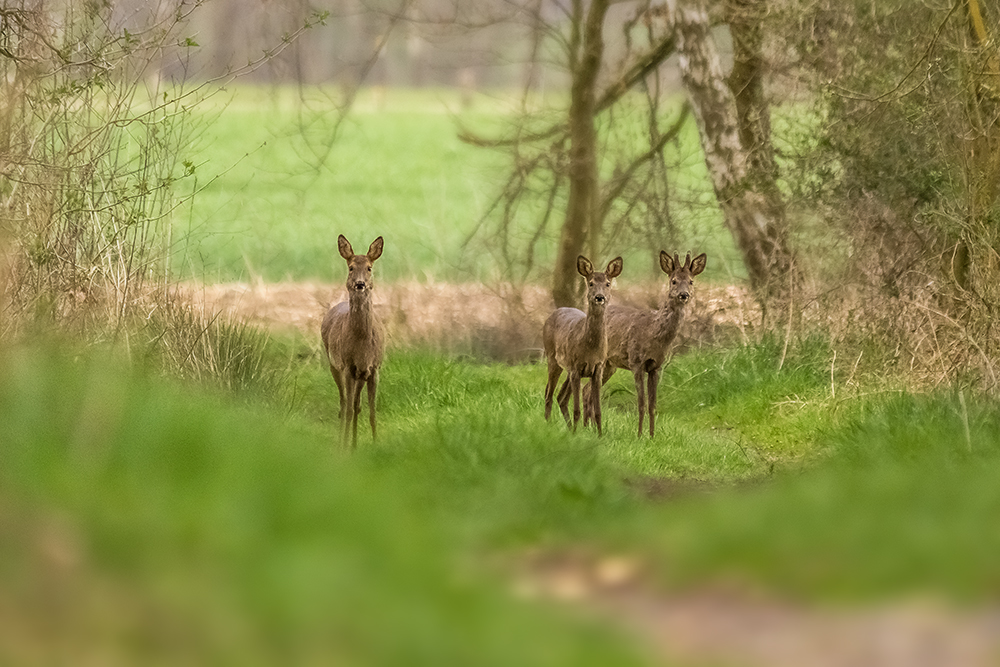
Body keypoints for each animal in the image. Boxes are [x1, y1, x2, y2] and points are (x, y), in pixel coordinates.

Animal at [320, 235, 386, 448]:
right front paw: (343, 448)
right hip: (334, 364)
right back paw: (344, 441)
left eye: (369, 268)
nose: (359, 284)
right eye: (350, 267)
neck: (362, 343)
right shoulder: (348, 366)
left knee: (356, 404)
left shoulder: (374, 368)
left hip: (360, 375)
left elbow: (371, 411)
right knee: (344, 404)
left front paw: (376, 444)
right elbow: (348, 409)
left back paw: (355, 444)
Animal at [544, 254, 620, 434]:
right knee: (549, 394)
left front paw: (598, 434)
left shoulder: (598, 368)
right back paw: (548, 425)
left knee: (561, 397)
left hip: (566, 368)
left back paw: (568, 427)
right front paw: (575, 435)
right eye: (591, 283)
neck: (590, 348)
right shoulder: (576, 367)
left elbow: (598, 410)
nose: (599, 297)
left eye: (607, 283)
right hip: (552, 358)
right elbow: (577, 409)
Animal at [588, 250, 708, 438]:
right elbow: (641, 403)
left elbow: (652, 405)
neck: (652, 333)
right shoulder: (636, 361)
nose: (684, 295)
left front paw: (652, 436)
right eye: (673, 281)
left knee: (586, 391)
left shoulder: (656, 366)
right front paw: (638, 435)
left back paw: (591, 428)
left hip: (608, 365)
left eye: (691, 281)